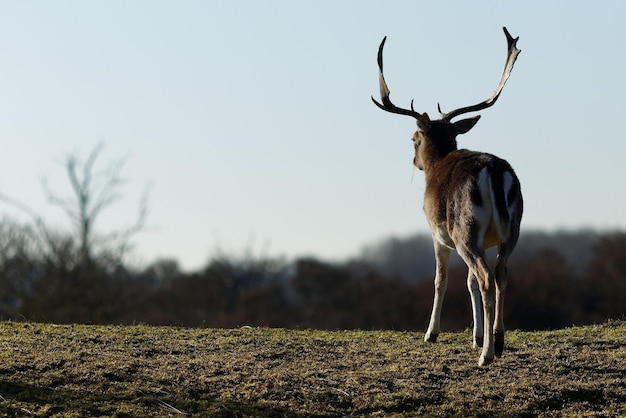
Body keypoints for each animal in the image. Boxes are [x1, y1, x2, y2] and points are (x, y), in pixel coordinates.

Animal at [370, 27, 520, 366]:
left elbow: (442, 280)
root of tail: (493, 172)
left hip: (464, 228)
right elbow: (468, 282)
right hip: (512, 229)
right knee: (501, 273)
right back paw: (498, 340)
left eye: (413, 137)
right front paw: (476, 336)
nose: (414, 161)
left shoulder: (437, 233)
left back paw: (487, 356)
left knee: (486, 276)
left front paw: (432, 333)